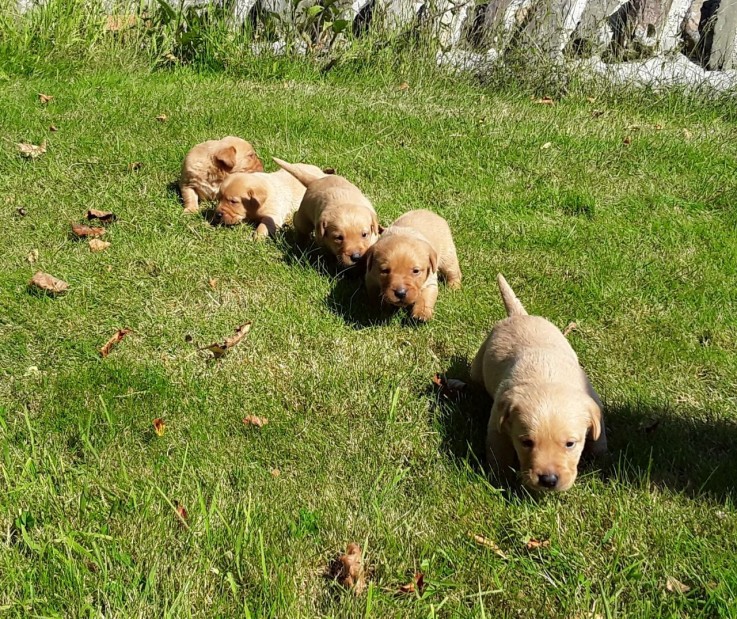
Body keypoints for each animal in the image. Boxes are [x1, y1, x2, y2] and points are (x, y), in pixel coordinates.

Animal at [468, 276, 608, 494]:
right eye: (526, 442)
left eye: (570, 444)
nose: (548, 480)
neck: (546, 378)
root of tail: (519, 315)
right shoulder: (497, 422)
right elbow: (499, 452)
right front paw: (501, 480)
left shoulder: (594, 405)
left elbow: (599, 437)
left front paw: (600, 460)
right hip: (479, 362)